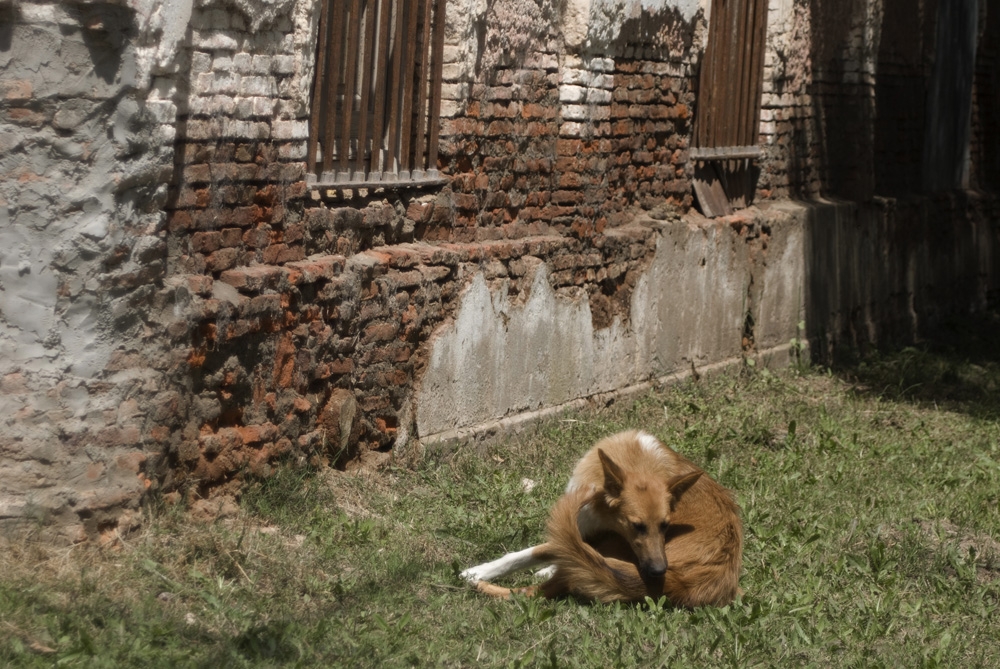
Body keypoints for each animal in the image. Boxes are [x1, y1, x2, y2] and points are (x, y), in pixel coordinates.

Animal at [460, 428, 744, 604]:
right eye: (637, 526)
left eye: (666, 526)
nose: (658, 571)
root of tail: (686, 582)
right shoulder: (582, 526)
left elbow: (531, 552)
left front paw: (476, 572)